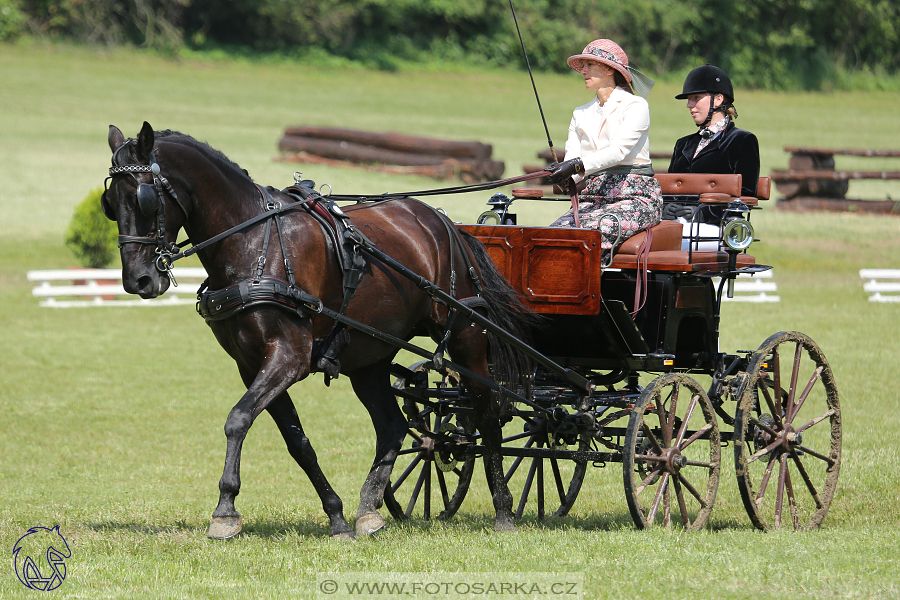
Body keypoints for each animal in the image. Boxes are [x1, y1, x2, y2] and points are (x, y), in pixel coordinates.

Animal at [103, 122, 536, 540]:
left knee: (486, 413)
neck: (253, 243)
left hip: (466, 336)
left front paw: (225, 510)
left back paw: (503, 509)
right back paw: (369, 510)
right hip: (369, 358)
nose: (137, 280)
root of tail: (444, 223)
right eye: (110, 203)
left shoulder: (289, 357)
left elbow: (238, 419)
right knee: (393, 427)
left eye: (144, 197)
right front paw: (337, 515)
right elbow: (297, 443)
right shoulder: (253, 364)